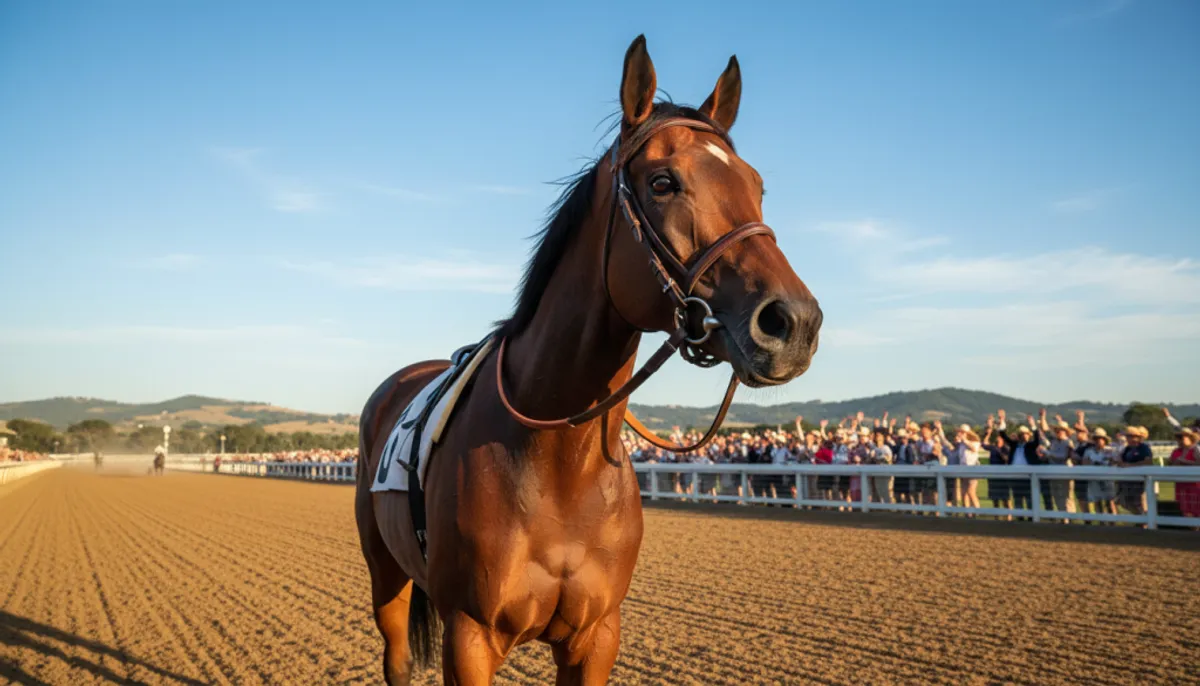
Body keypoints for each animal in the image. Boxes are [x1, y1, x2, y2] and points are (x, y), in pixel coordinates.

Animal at [355, 35, 822, 685]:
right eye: (663, 182)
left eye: (756, 185)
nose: (794, 322)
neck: (557, 461)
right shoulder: (468, 637)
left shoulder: (596, 634)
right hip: (386, 577)